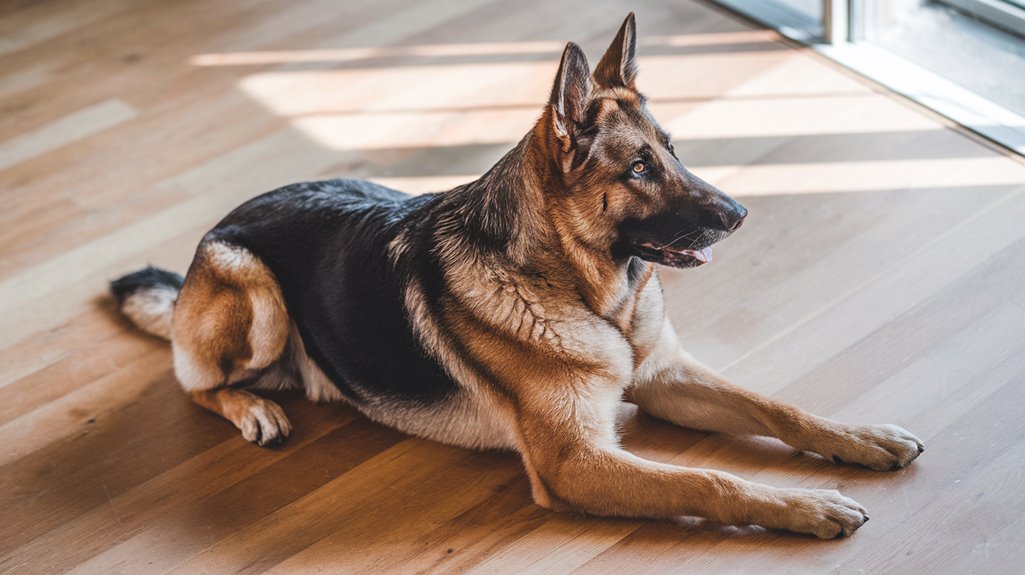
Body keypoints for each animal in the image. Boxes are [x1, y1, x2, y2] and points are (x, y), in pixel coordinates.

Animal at [112, 15, 922, 541]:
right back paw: (252, 406)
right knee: (197, 382)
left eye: (674, 150)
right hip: (252, 284)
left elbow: (778, 407)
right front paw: (807, 506)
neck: (592, 296)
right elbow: (706, 480)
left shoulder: (663, 376)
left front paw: (858, 438)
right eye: (639, 168)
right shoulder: (578, 463)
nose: (742, 214)